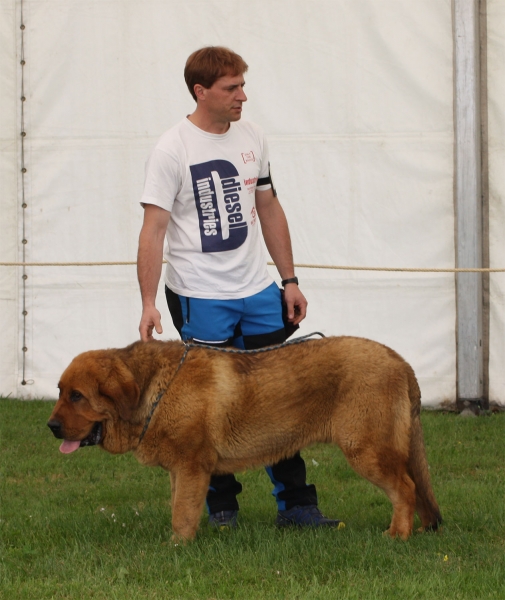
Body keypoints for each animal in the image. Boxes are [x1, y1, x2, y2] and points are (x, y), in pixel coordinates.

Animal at [48, 336, 440, 540]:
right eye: (60, 392)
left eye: (77, 396)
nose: (50, 426)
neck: (153, 387)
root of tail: (401, 362)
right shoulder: (180, 471)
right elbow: (181, 507)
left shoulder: (191, 467)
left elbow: (182, 513)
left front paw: (178, 547)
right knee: (417, 490)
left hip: (367, 450)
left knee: (406, 489)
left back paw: (397, 535)